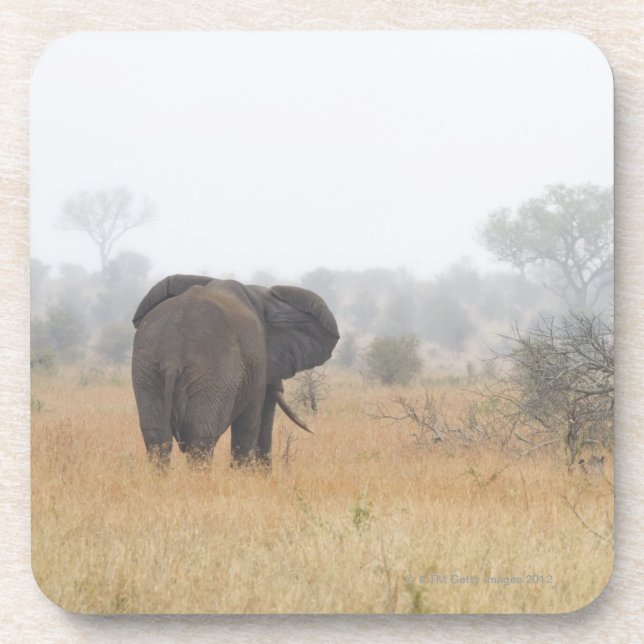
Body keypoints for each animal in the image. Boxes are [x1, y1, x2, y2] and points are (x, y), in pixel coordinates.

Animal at [131, 274, 339, 468]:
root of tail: (172, 357)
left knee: (156, 437)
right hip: (213, 376)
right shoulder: (256, 366)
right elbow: (250, 423)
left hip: (146, 369)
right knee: (201, 439)